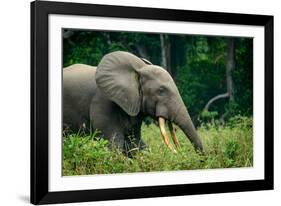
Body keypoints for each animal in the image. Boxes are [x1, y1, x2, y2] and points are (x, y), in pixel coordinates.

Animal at [63, 51, 202, 154]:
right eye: (161, 91)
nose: (180, 151)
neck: (138, 70)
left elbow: (135, 142)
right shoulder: (102, 101)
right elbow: (114, 144)